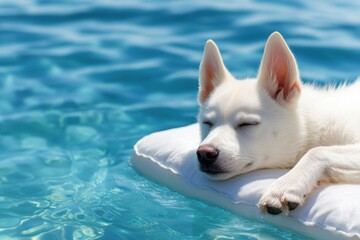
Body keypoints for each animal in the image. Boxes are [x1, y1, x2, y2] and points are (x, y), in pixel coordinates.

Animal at [195, 31, 360, 214]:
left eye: (247, 124)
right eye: (207, 123)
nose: (205, 153)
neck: (316, 125)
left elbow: (317, 152)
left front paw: (286, 186)